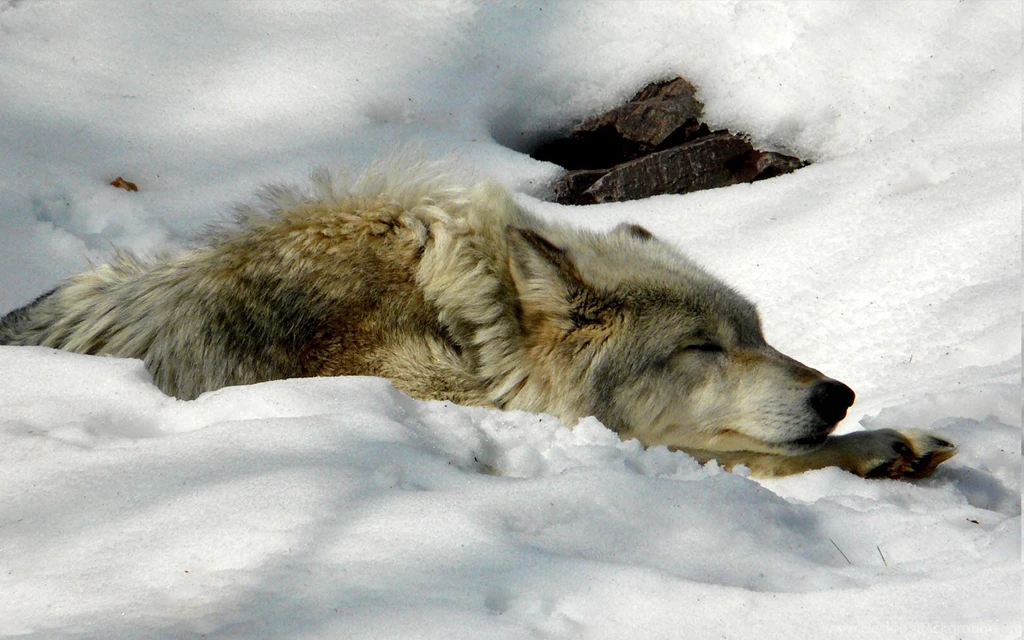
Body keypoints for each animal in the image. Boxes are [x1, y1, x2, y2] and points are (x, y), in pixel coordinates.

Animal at [0, 159, 956, 478]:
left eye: (759, 336)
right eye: (700, 347)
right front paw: (878, 445)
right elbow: (731, 450)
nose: (837, 394)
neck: (466, 326)